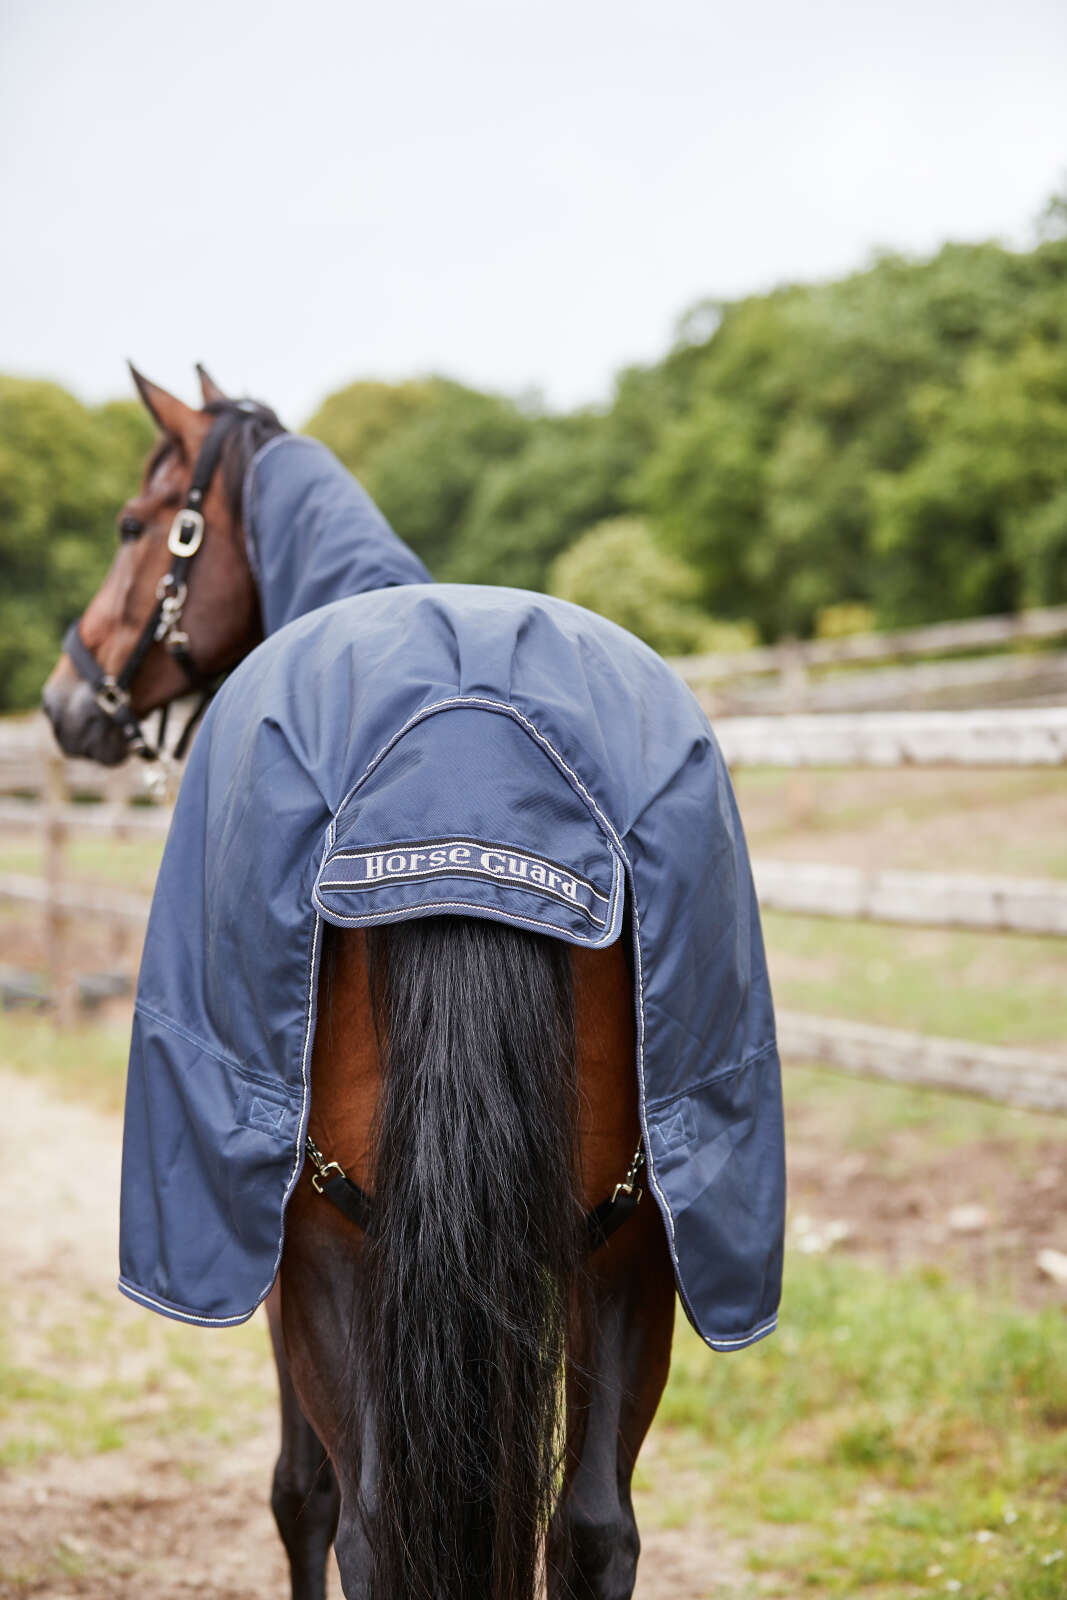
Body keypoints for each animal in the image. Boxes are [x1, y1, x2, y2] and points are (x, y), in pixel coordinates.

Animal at [42, 368, 784, 1600]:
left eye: (134, 527)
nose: (66, 702)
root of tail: (478, 754)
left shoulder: (285, 1256)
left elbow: (298, 1492)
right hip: (633, 1242)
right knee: (593, 1528)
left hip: (336, 1246)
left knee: (370, 1523)